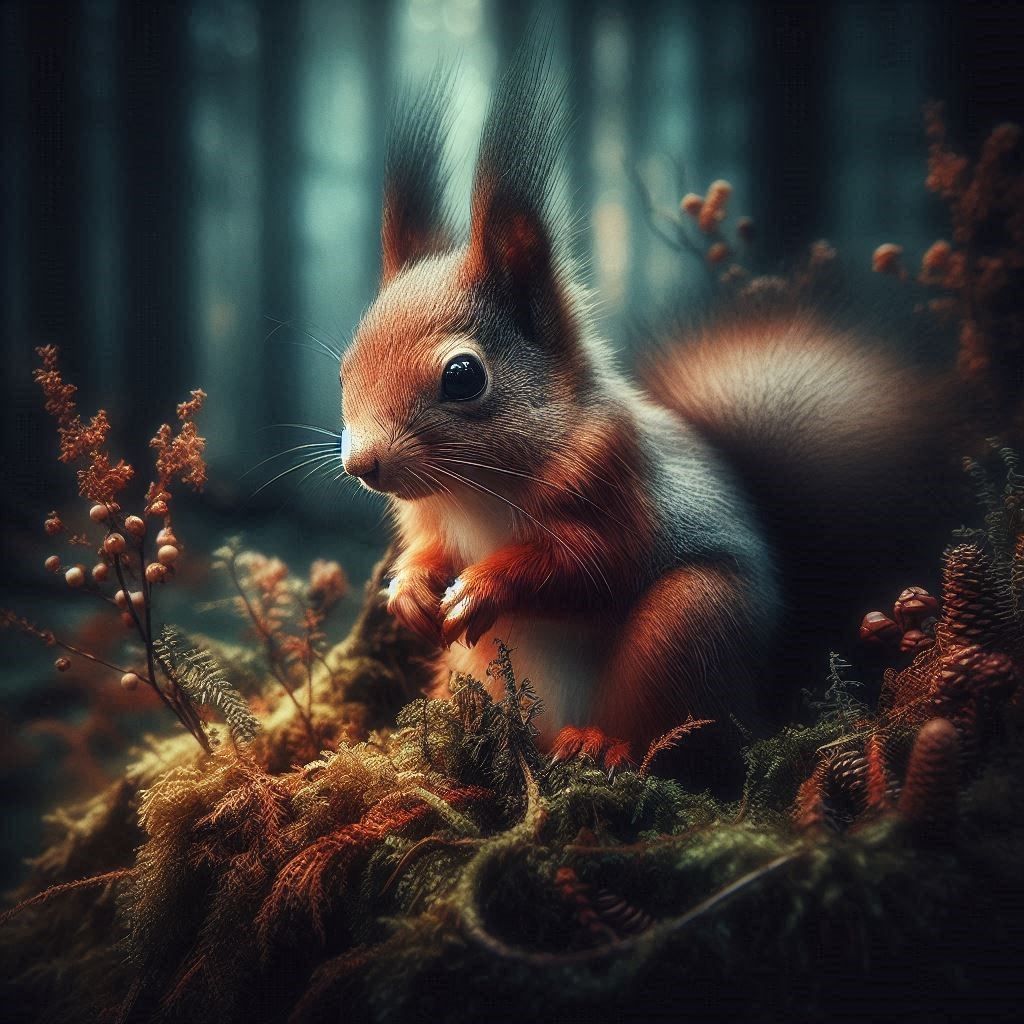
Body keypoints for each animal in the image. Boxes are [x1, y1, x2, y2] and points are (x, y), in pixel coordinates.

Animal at [338, 54, 955, 764]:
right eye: (344, 368)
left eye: (463, 377)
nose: (362, 465)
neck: (478, 489)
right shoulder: (431, 521)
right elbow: (428, 551)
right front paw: (409, 591)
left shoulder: (619, 480)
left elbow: (589, 564)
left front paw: (484, 586)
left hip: (688, 624)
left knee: (674, 737)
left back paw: (600, 745)